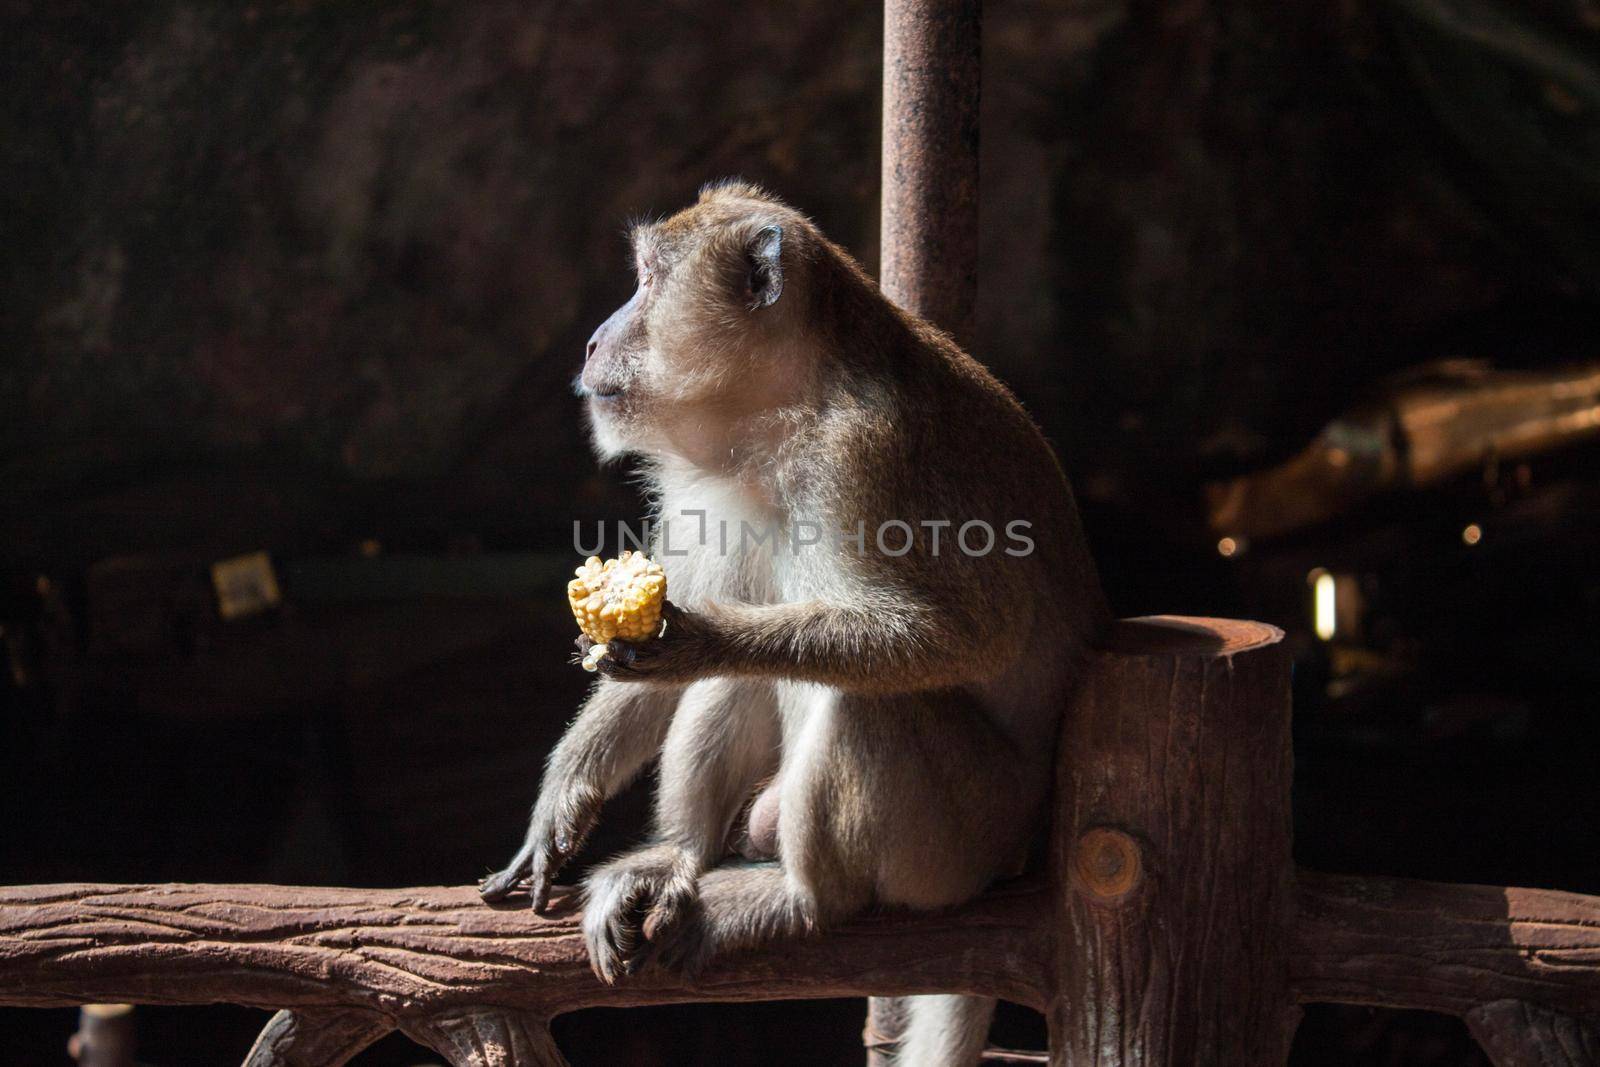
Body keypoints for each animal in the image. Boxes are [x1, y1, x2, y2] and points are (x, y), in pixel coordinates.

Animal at [480, 179, 1107, 1062]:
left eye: (647, 278)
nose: (595, 339)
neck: (780, 418)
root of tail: (1019, 859)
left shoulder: (869, 454)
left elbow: (963, 636)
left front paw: (698, 638)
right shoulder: (702, 484)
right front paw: (562, 798)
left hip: (960, 847)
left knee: (866, 703)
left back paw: (803, 902)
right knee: (745, 682)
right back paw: (676, 857)